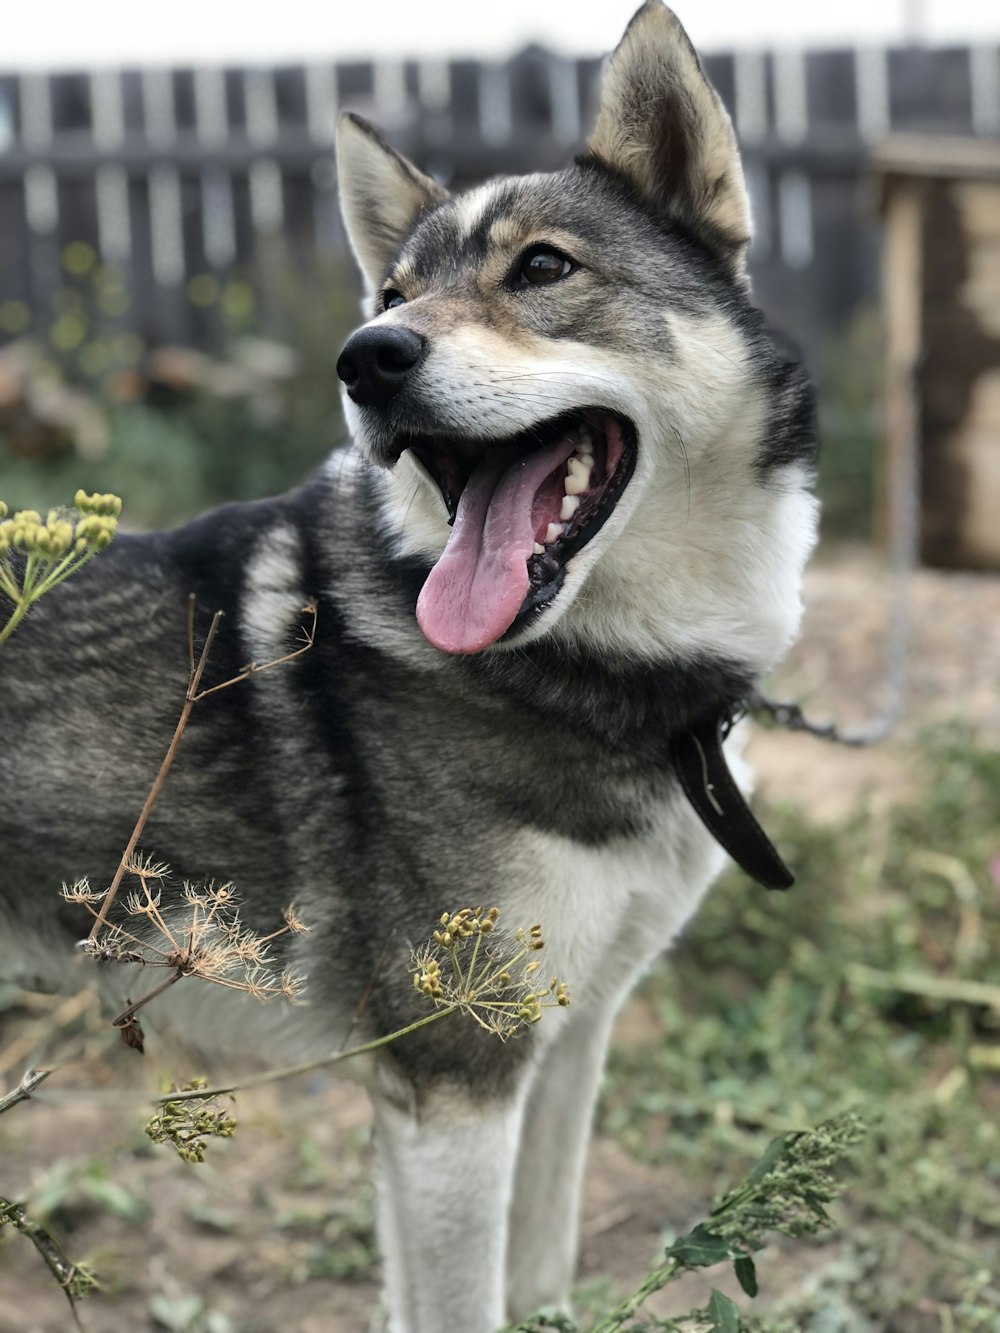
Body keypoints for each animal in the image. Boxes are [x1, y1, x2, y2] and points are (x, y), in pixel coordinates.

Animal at [0, 5, 816, 1327]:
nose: (364, 356)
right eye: (392, 293)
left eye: (541, 269)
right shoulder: (455, 1081)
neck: (599, 675)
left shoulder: (560, 1040)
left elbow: (533, 1274)